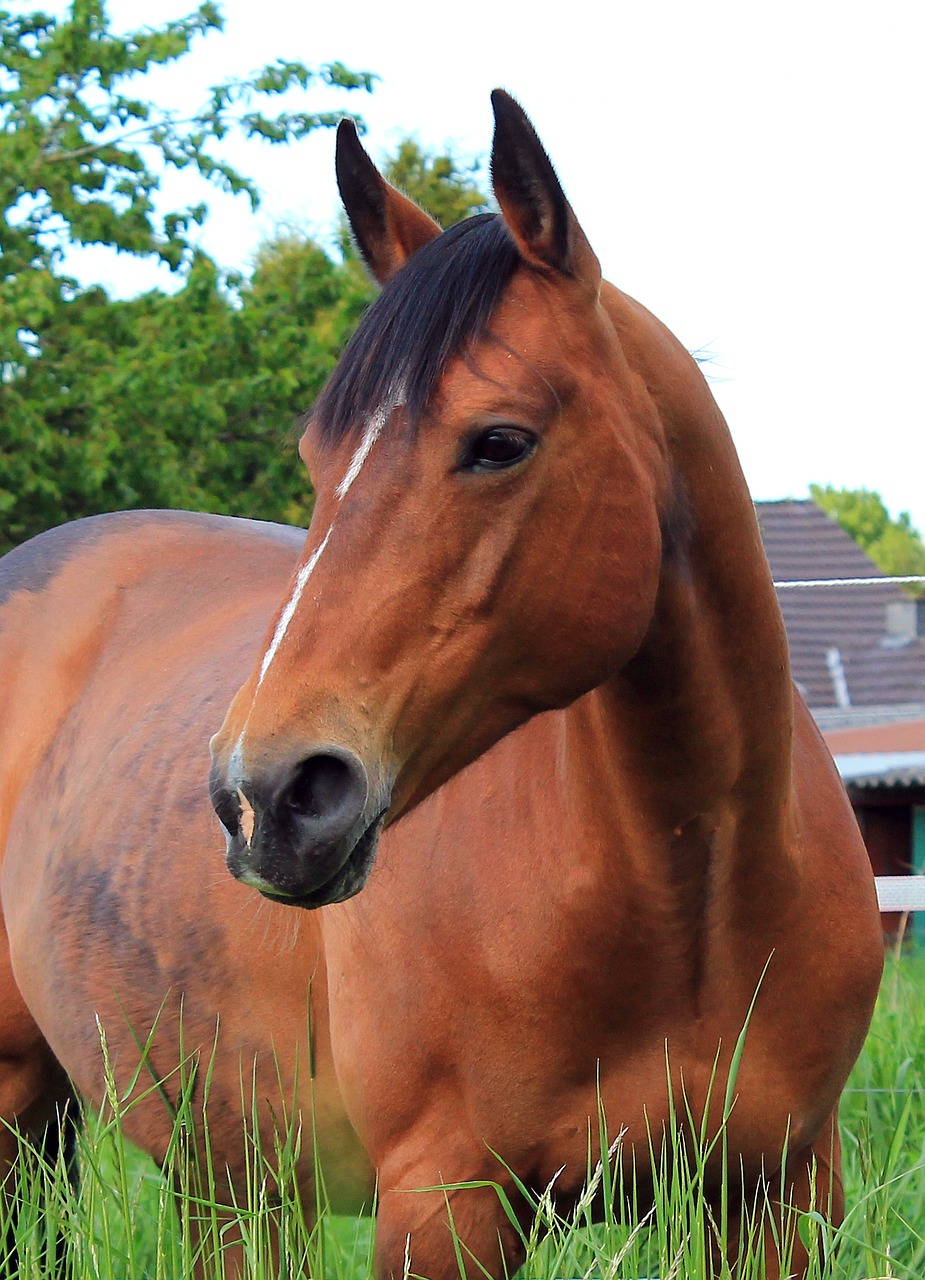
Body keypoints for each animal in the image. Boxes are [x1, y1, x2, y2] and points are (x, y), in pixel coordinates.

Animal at [0, 92, 885, 1280]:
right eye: (319, 459)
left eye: (498, 441)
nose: (267, 798)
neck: (683, 895)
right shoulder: (444, 1205)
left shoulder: (778, 1195)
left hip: (223, 1177)